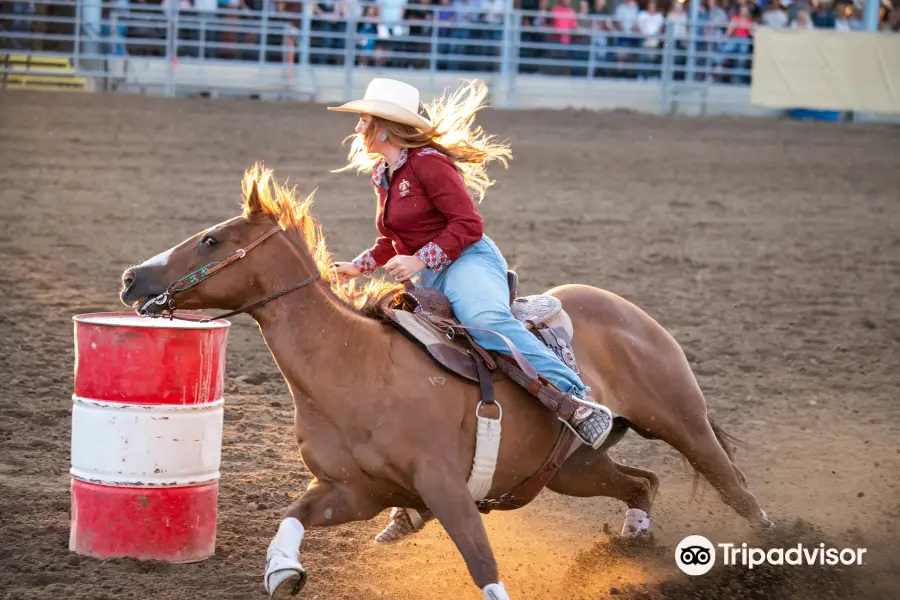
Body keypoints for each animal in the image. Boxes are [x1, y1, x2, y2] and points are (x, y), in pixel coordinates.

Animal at [116, 165, 768, 600]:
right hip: (571, 469)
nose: (130, 278)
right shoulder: (355, 490)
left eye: (210, 239)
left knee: (734, 487)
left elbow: (482, 565)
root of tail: (627, 311)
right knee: (640, 483)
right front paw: (282, 570)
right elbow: (295, 511)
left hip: (680, 420)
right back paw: (630, 543)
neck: (354, 368)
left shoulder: (445, 486)